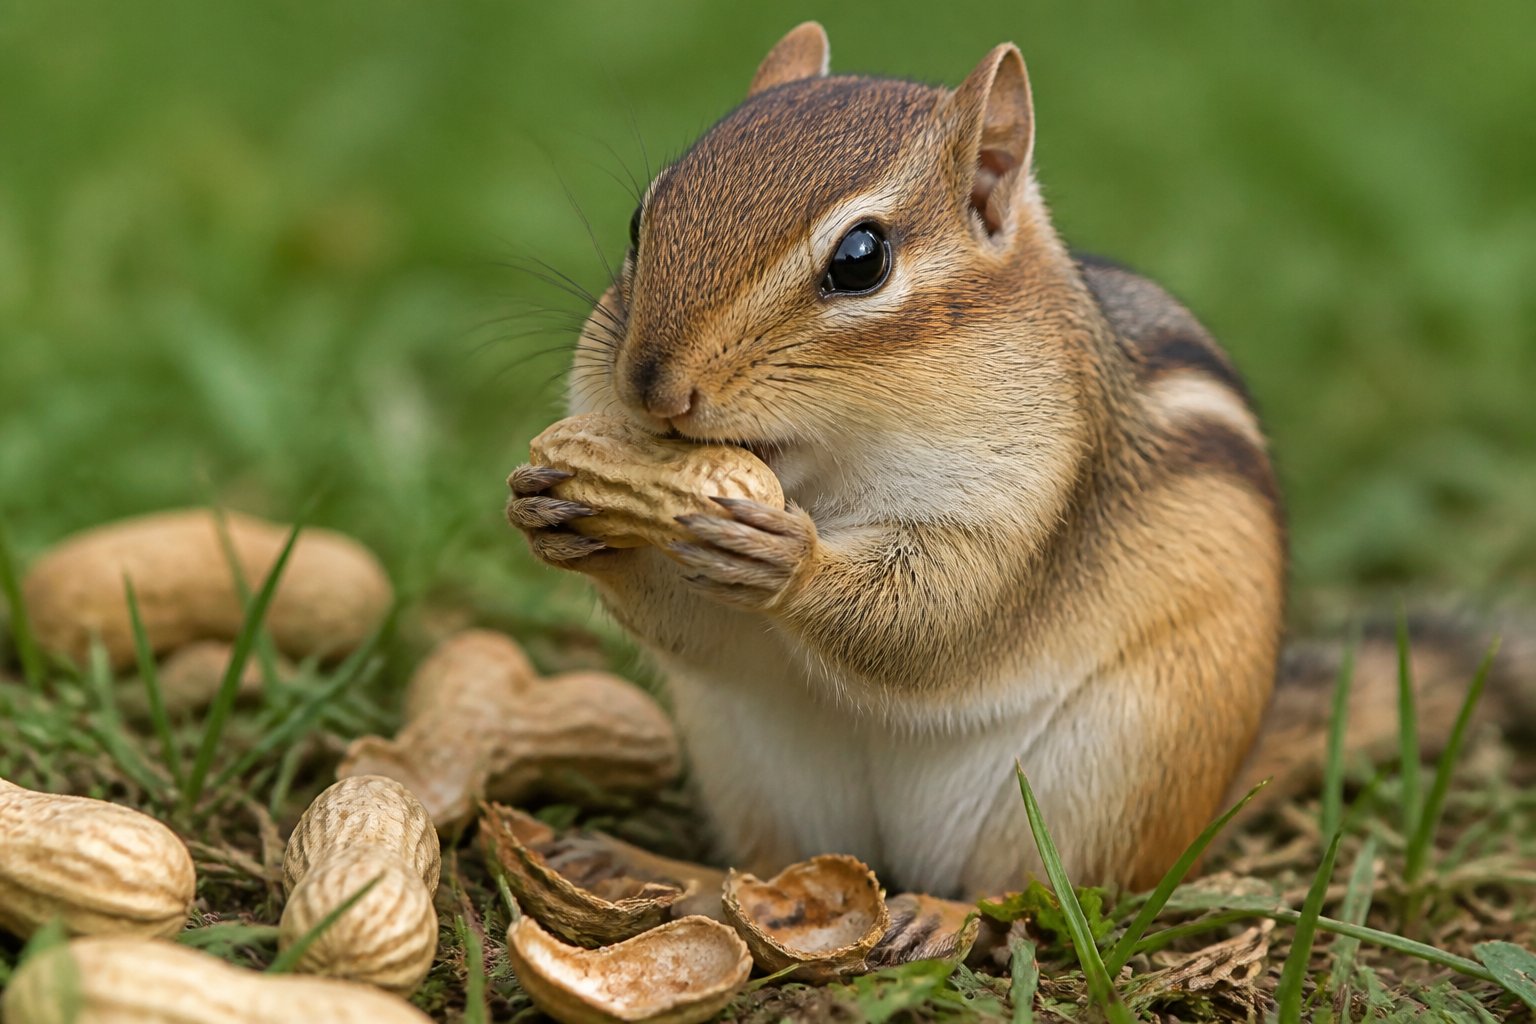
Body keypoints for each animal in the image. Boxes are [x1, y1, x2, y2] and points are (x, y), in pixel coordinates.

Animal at [508, 23, 1532, 896]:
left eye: (861, 259)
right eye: (640, 221)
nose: (651, 387)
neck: (823, 467)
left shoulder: (1027, 494)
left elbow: (940, 614)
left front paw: (783, 558)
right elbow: (693, 629)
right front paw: (550, 508)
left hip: (1116, 768)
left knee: (1030, 899)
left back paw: (940, 916)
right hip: (748, 761)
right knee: (764, 869)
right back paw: (650, 869)